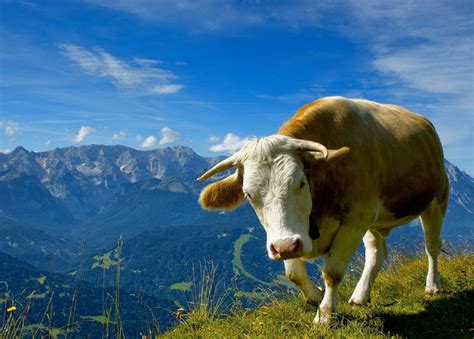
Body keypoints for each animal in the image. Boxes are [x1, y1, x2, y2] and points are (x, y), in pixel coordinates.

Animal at [196, 96, 448, 324]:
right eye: (249, 194)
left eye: (300, 183)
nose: (284, 247)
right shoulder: (294, 234)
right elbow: (293, 273)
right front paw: (316, 296)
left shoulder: (355, 219)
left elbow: (332, 272)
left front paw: (325, 315)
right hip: (376, 220)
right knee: (376, 252)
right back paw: (360, 296)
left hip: (437, 200)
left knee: (432, 246)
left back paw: (433, 285)